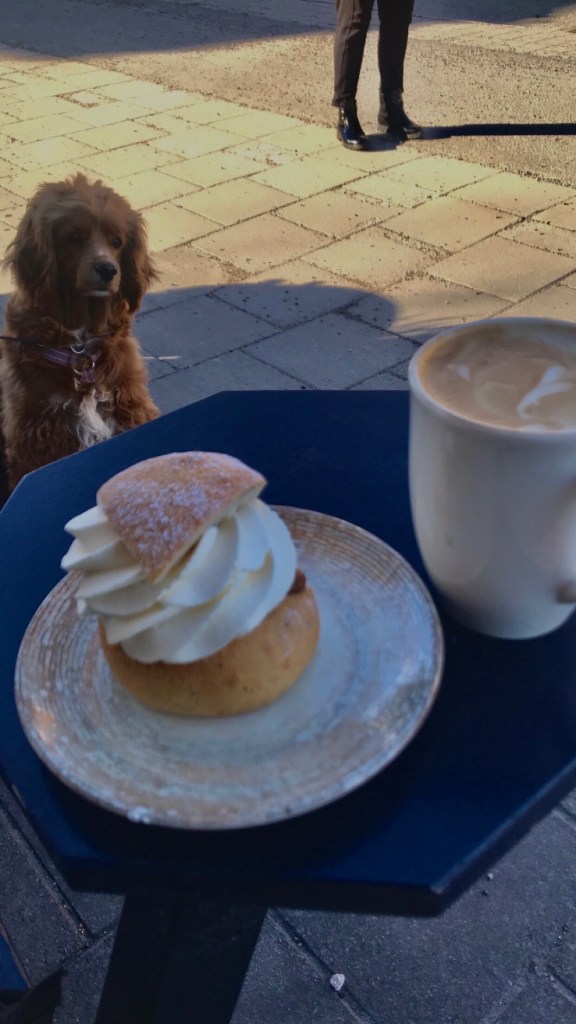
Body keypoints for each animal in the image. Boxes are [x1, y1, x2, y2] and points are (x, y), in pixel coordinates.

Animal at [0, 173, 160, 493]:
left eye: (117, 241)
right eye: (73, 237)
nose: (108, 269)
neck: (80, 352)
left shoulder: (131, 409)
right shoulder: (34, 439)